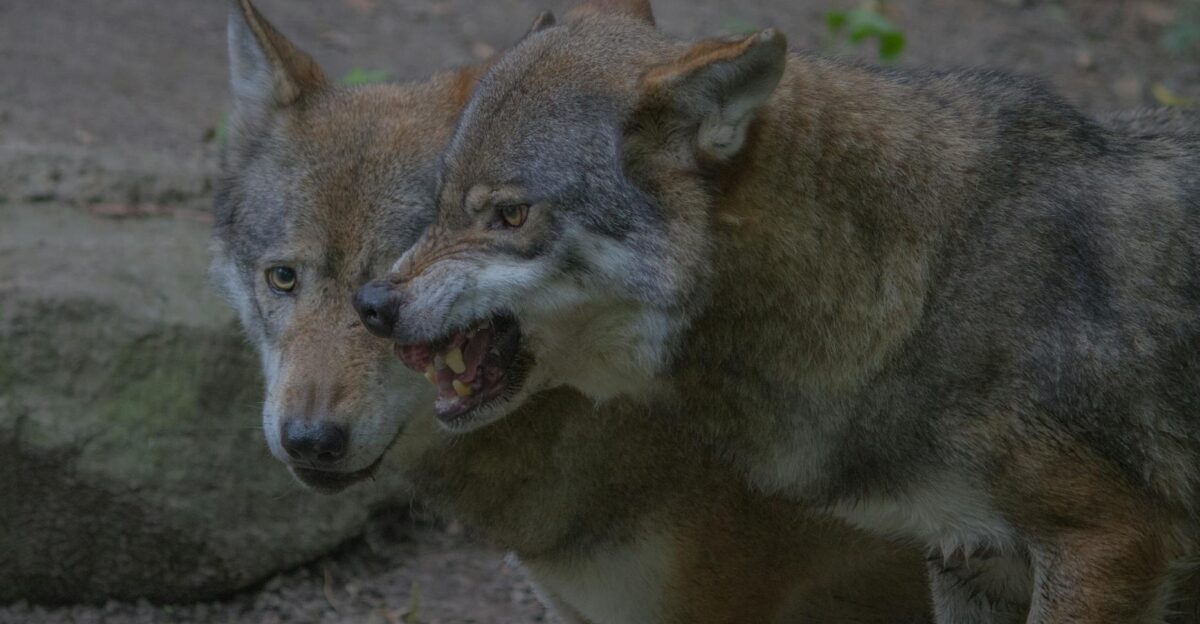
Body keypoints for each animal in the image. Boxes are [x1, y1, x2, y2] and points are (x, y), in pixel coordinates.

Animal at [359, 0, 1200, 621]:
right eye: (440, 203)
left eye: (508, 214)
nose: (372, 303)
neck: (923, 286)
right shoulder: (969, 561)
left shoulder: (1106, 544)